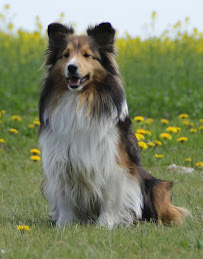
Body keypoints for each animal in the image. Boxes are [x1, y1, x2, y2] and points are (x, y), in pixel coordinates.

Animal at [38, 22, 190, 230]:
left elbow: (110, 198)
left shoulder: (112, 163)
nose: (71, 68)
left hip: (156, 186)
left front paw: (105, 224)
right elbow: (65, 198)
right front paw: (64, 224)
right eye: (65, 54)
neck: (79, 100)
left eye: (87, 55)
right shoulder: (61, 163)